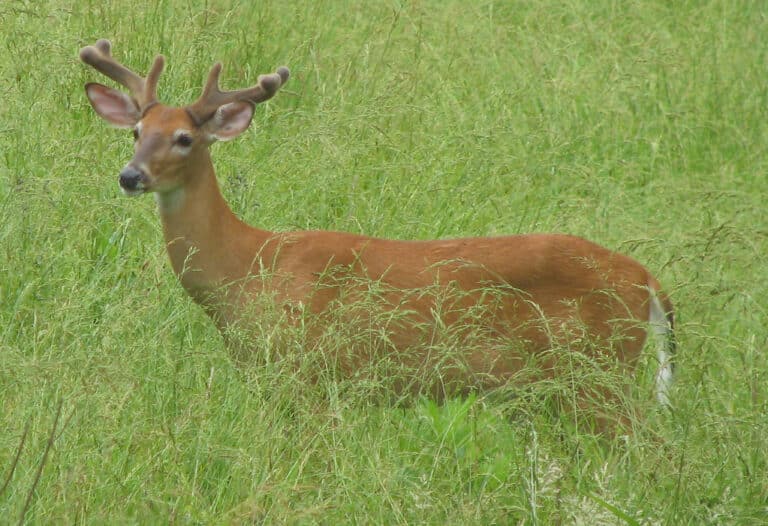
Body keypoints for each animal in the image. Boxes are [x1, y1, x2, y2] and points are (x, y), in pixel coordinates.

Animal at [79, 39, 675, 434]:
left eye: (184, 138)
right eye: (137, 131)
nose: (130, 176)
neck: (247, 267)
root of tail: (647, 280)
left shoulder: (309, 372)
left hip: (598, 373)